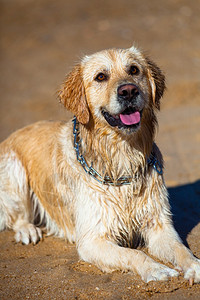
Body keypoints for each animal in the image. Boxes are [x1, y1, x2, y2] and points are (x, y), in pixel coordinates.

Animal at [0, 45, 200, 282]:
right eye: (101, 77)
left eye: (134, 70)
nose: (128, 91)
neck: (121, 157)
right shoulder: (92, 239)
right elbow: (134, 254)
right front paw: (156, 269)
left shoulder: (159, 225)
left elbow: (181, 249)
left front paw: (195, 266)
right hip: (14, 170)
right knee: (16, 217)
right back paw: (28, 230)